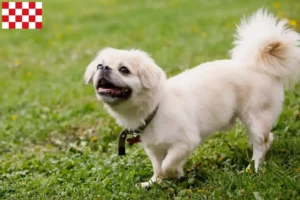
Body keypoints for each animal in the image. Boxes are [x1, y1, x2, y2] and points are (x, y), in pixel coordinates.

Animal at [84, 9, 300, 188]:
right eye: (99, 66)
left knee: (262, 143)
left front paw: (174, 174)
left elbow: (167, 164)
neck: (155, 108)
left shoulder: (185, 142)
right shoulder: (154, 149)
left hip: (255, 118)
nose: (104, 68)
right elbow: (157, 166)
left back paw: (253, 168)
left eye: (124, 70)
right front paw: (153, 182)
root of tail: (260, 66)